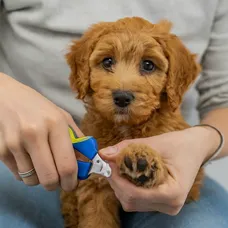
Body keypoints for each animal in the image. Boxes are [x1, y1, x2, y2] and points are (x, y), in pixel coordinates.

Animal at [60, 17, 201, 228]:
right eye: (107, 61)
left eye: (148, 65)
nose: (122, 97)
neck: (126, 128)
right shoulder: (94, 185)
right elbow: (96, 219)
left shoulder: (193, 184)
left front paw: (141, 158)